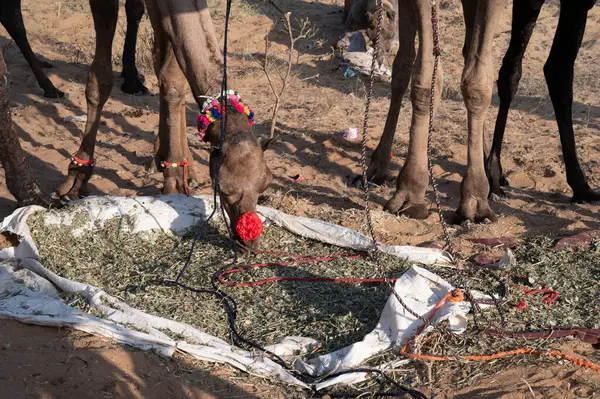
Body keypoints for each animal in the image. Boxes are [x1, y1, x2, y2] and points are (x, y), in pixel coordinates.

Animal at [55, 0, 272, 250]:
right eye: (222, 189)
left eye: (266, 183)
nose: (249, 241)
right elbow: (100, 81)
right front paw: (77, 175)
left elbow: (173, 78)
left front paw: (175, 174)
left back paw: (176, 162)